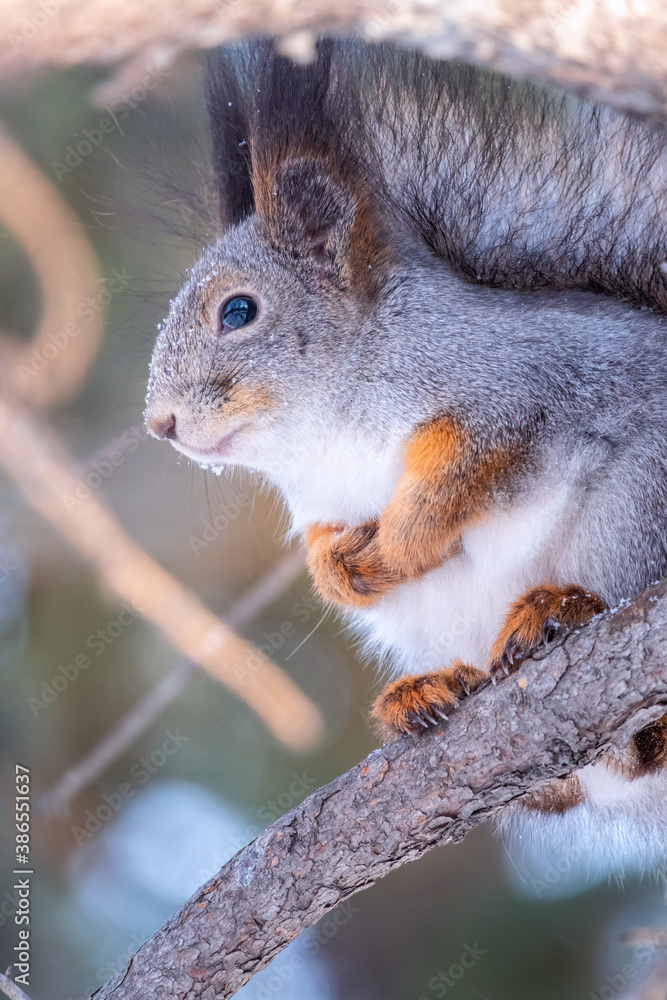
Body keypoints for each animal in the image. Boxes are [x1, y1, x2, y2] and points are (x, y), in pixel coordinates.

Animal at [144, 39, 667, 871]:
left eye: (238, 311)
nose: (158, 422)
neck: (321, 438)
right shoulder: (320, 502)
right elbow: (324, 545)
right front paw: (343, 570)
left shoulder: (516, 390)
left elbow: (460, 471)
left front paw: (400, 544)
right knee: (571, 788)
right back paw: (429, 695)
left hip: (635, 512)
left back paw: (562, 612)